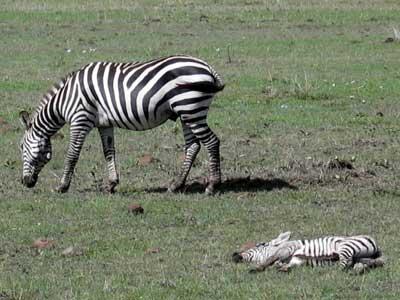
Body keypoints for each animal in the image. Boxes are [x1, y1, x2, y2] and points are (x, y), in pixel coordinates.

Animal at [18, 54, 223, 195]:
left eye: (21, 147)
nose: (24, 182)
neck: (65, 99)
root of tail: (207, 67)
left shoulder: (80, 119)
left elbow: (72, 155)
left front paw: (62, 186)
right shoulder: (104, 124)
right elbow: (109, 152)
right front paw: (111, 184)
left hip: (190, 108)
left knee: (212, 141)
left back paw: (212, 186)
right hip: (186, 112)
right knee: (193, 146)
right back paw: (176, 185)